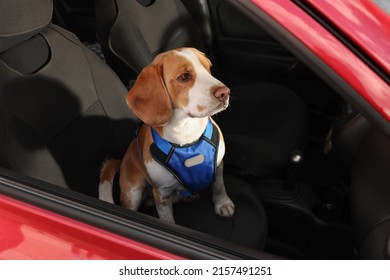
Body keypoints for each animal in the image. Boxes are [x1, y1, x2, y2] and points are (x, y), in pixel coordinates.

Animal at [99, 48, 235, 223]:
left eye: (209, 68)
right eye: (184, 77)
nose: (225, 92)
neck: (186, 135)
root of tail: (122, 161)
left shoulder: (217, 166)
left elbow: (219, 186)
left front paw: (222, 203)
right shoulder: (162, 193)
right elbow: (167, 218)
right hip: (133, 192)